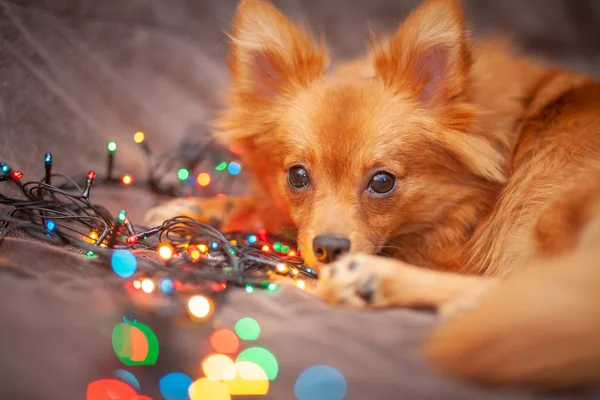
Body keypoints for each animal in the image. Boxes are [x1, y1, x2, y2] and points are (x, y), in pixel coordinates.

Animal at [148, 0, 600, 390]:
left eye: (382, 182)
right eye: (297, 176)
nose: (330, 248)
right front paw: (199, 212)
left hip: (549, 212)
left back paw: (374, 280)